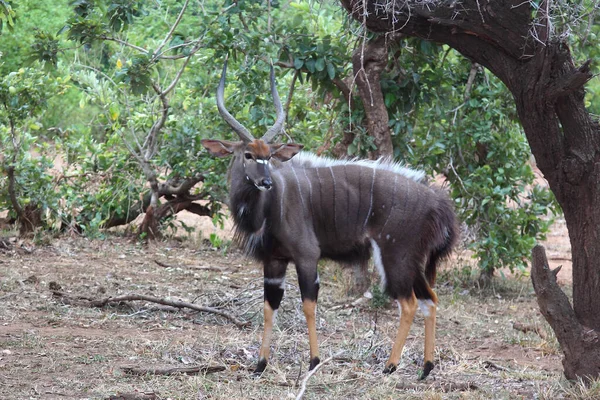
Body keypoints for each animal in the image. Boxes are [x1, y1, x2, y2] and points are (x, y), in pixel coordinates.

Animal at [203, 58, 460, 378]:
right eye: (248, 155)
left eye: (269, 156)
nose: (266, 182)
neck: (268, 208)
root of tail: (437, 202)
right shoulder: (274, 260)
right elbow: (269, 306)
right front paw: (260, 364)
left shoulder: (306, 255)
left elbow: (308, 304)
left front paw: (313, 361)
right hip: (413, 262)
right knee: (430, 300)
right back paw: (425, 368)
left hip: (396, 257)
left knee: (410, 303)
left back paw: (390, 365)